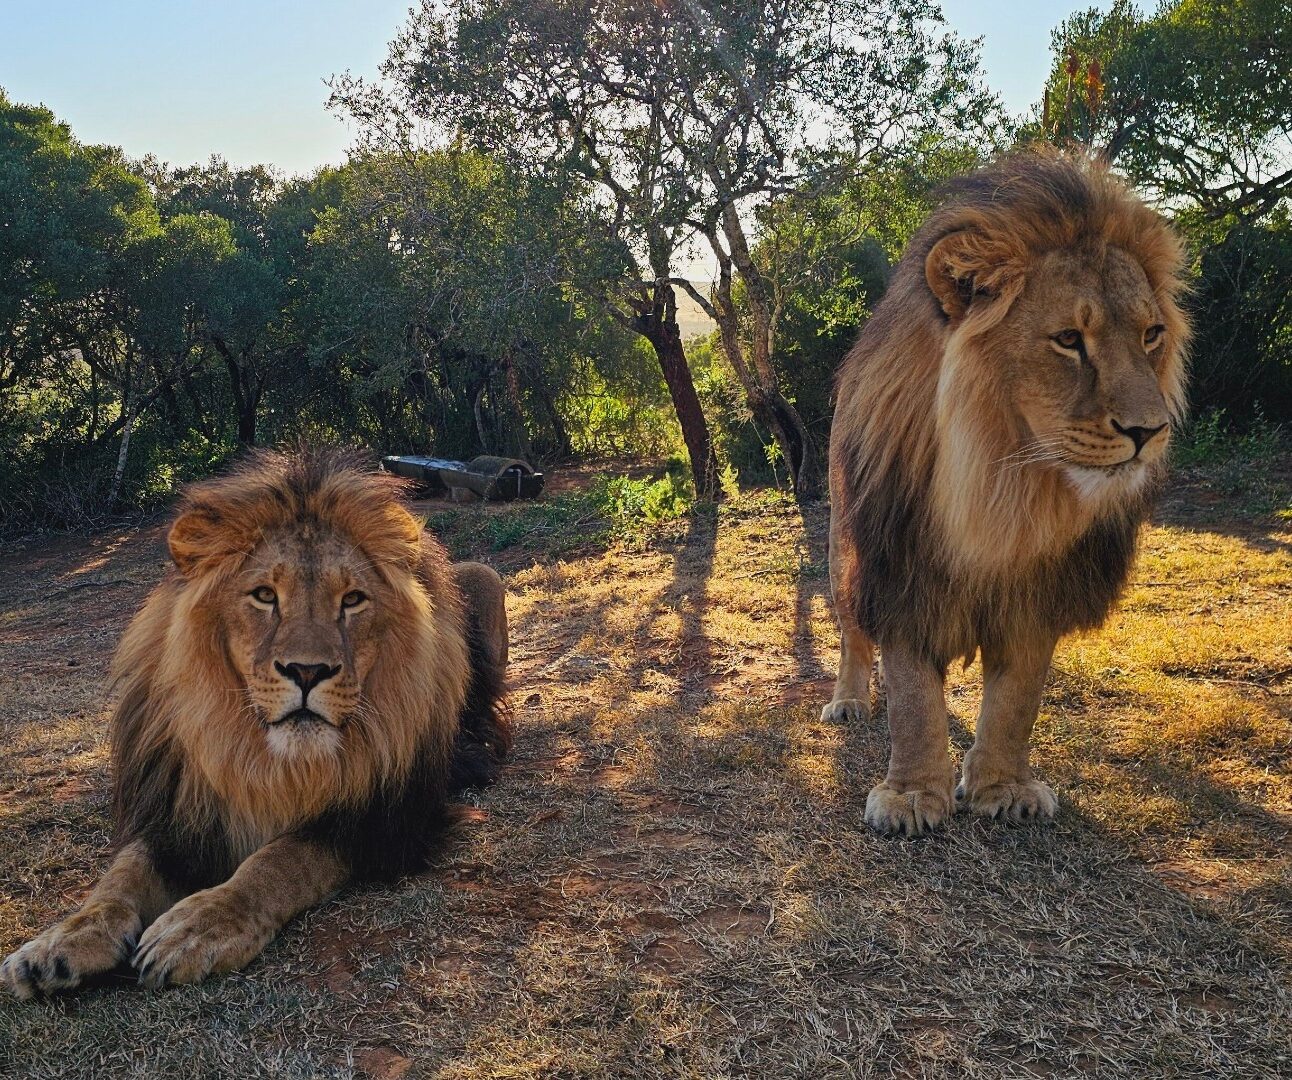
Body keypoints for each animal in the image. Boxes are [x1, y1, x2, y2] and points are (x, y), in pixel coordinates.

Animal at [2, 448, 511, 996]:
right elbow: (121, 875)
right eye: (265, 595)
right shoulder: (177, 812)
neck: (270, 758)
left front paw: (199, 926)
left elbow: (279, 860)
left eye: (352, 599)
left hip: (483, 575)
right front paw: (60, 941)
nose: (307, 671)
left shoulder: (387, 821)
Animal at [821, 151, 1190, 837]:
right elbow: (912, 696)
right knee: (854, 631)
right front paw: (913, 794)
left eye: (1151, 334)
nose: (1149, 431)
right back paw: (850, 701)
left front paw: (1002, 787)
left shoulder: (1039, 591)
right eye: (1069, 339)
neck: (1007, 487)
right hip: (843, 545)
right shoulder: (904, 568)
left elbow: (1017, 700)